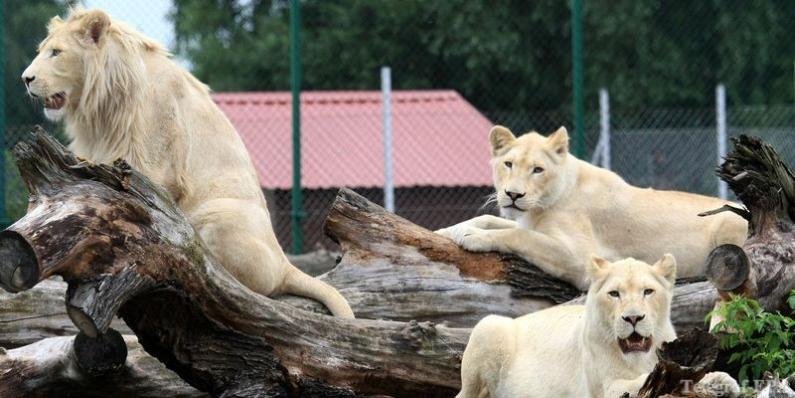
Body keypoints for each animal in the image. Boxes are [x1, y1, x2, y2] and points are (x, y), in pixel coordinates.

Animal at [21, 8, 354, 318]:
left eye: (56, 52)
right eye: (41, 50)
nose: (26, 79)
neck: (102, 106)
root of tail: (286, 262)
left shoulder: (152, 165)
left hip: (219, 216)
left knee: (239, 287)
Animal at [438, 126, 748, 290]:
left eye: (538, 169)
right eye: (508, 164)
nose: (513, 195)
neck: (540, 207)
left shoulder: (581, 258)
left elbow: (518, 235)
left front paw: (473, 237)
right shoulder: (527, 220)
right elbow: (491, 218)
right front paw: (449, 230)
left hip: (729, 223)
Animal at [458, 255, 744, 398]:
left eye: (648, 291)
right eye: (614, 294)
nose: (633, 318)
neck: (640, 356)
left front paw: (722, 382)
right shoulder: (607, 388)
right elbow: (642, 382)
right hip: (489, 325)